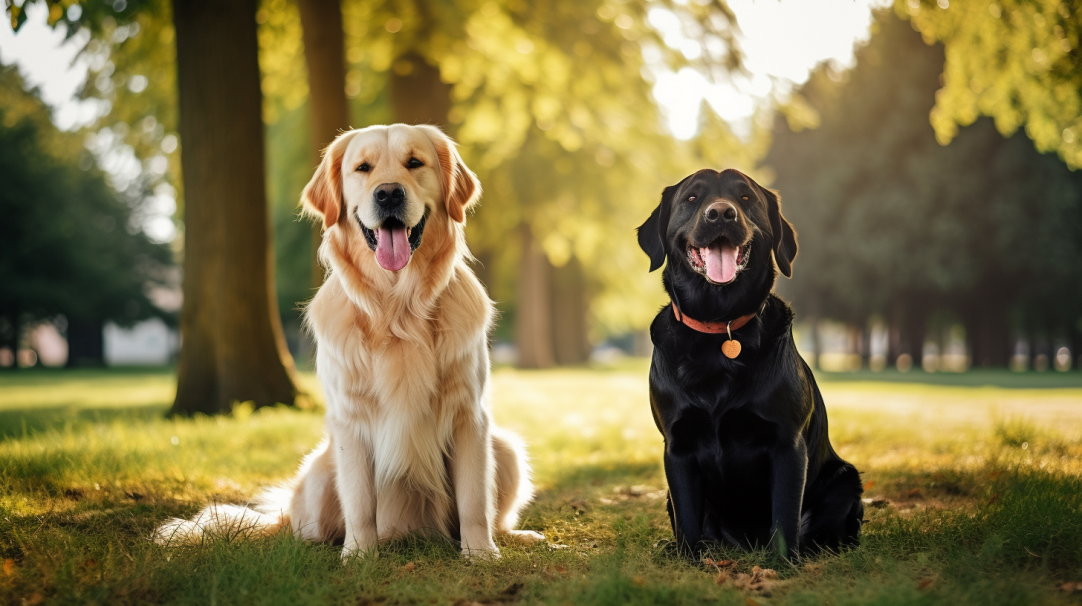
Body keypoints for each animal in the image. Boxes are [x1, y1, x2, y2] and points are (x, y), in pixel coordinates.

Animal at [154, 123, 541, 558]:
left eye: (414, 162)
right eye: (363, 168)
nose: (388, 193)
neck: (398, 308)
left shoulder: (468, 414)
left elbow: (474, 499)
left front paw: (480, 554)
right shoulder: (351, 420)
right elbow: (359, 501)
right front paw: (359, 555)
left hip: (505, 449)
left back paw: (513, 535)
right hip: (320, 474)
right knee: (310, 529)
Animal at [631, 167, 861, 562]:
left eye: (745, 198)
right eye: (692, 198)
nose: (721, 214)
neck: (719, 325)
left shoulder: (787, 443)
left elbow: (784, 515)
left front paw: (782, 565)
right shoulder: (678, 446)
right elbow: (688, 519)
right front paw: (688, 561)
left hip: (845, 481)